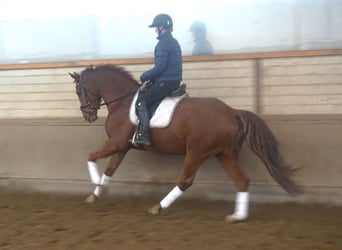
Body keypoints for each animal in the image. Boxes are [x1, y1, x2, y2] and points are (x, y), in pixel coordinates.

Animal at [69, 63, 300, 222]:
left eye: (79, 91)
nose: (88, 116)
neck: (123, 103)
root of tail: (233, 112)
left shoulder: (116, 143)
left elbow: (91, 157)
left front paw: (94, 182)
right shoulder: (123, 147)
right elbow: (109, 170)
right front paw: (95, 193)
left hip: (197, 152)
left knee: (185, 181)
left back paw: (158, 207)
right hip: (225, 154)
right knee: (242, 181)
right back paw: (238, 217)